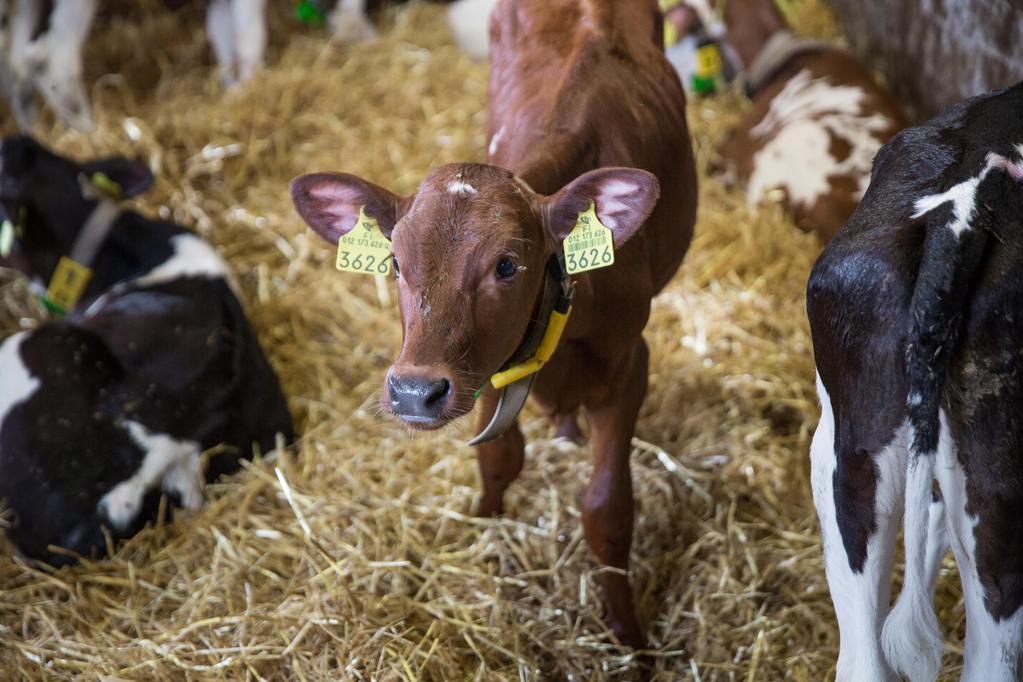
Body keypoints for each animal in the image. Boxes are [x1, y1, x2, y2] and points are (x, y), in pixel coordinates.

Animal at [292, 0, 699, 650]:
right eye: (396, 263)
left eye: (507, 264)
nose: (414, 392)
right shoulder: (484, 368)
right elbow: (498, 457)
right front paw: (482, 524)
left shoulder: (629, 363)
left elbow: (608, 509)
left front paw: (629, 636)